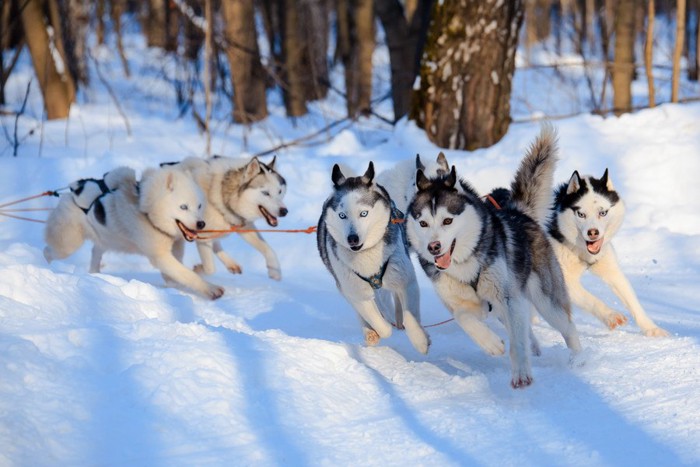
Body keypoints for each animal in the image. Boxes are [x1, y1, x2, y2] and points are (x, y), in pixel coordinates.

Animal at [44, 166, 224, 302]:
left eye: (199, 206)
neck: (148, 211)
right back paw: (46, 265)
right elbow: (187, 275)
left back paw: (96, 275)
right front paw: (210, 289)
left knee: (95, 253)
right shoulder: (160, 256)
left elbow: (177, 275)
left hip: (105, 240)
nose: (201, 224)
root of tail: (71, 192)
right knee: (48, 251)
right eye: (184, 207)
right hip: (68, 244)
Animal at [316, 163, 426, 352]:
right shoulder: (355, 290)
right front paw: (381, 328)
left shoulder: (406, 280)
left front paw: (420, 341)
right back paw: (371, 331)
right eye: (342, 215)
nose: (352, 238)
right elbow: (377, 320)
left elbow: (410, 316)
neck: (367, 256)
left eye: (364, 213)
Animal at [404, 127, 580, 388]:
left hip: (545, 300)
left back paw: (579, 360)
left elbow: (517, 342)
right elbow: (463, 317)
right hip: (502, 308)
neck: (465, 263)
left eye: (447, 220)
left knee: (567, 327)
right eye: (423, 223)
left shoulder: (506, 298)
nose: (433, 247)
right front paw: (492, 344)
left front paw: (521, 374)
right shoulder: (469, 303)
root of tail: (518, 212)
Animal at [548, 170, 668, 338]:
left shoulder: (612, 270)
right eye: (581, 214)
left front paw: (651, 328)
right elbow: (591, 300)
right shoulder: (563, 280)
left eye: (602, 212)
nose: (593, 233)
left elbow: (632, 300)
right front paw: (610, 315)